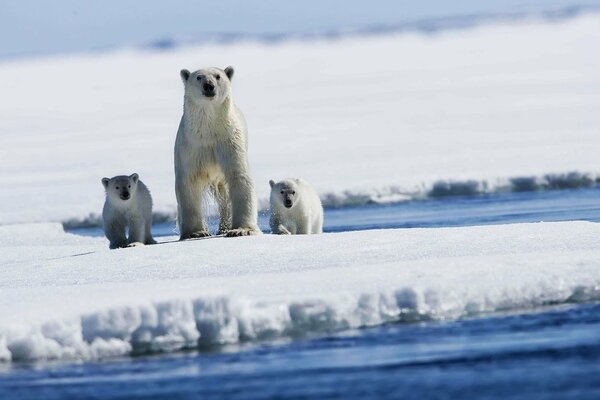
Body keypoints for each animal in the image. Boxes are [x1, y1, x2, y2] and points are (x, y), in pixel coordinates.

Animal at [172, 66, 258, 239]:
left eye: (218, 76)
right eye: (199, 77)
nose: (209, 86)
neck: (209, 131)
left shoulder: (229, 141)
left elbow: (239, 176)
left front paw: (241, 229)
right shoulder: (190, 147)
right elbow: (188, 182)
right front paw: (196, 232)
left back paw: (224, 227)